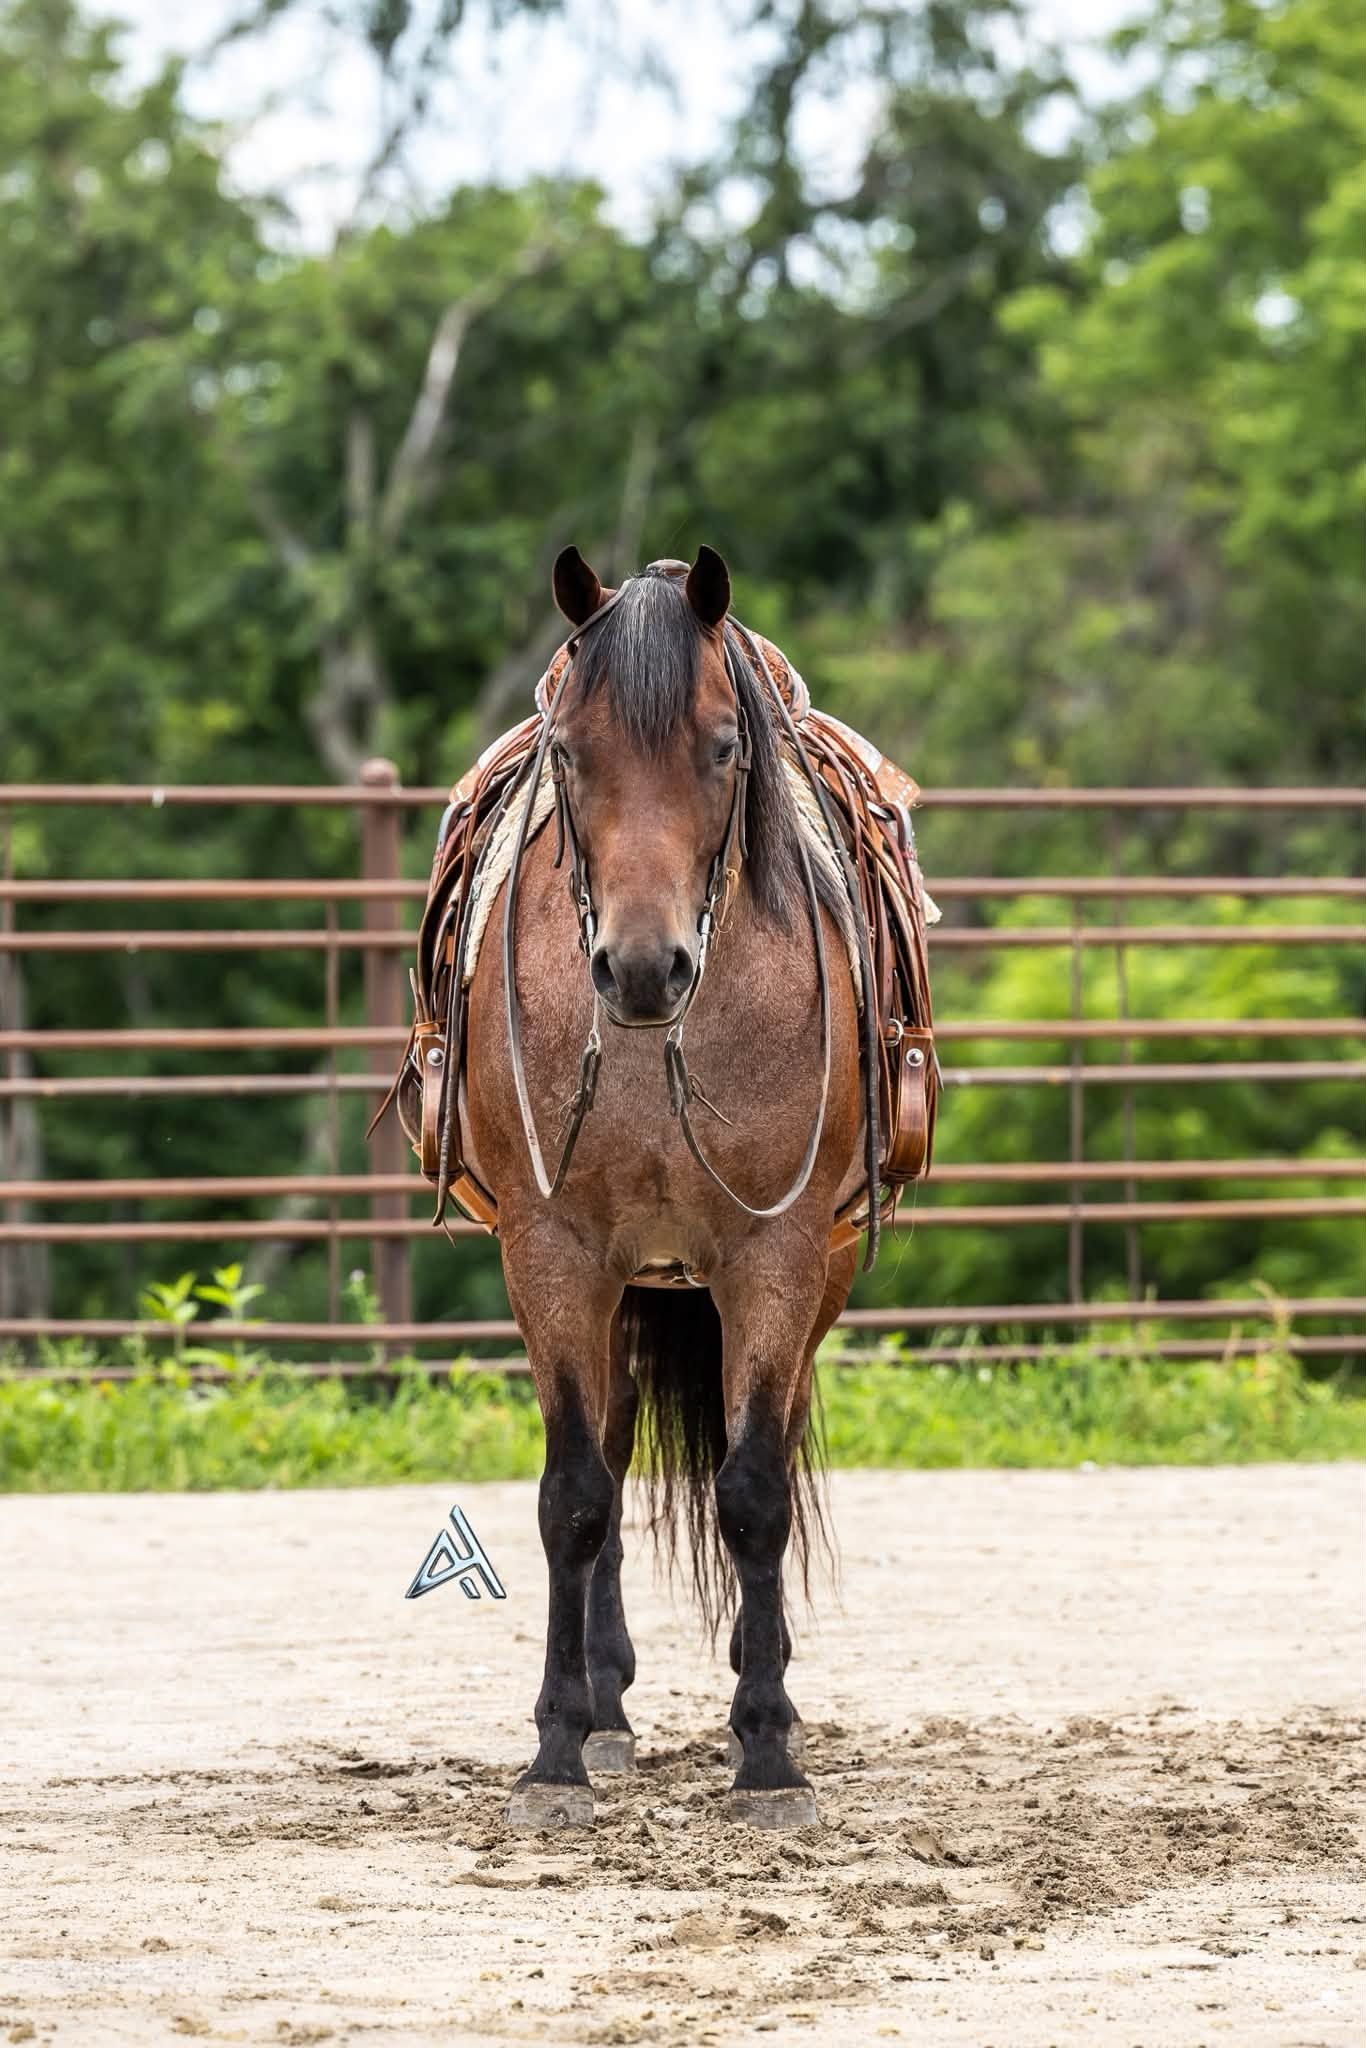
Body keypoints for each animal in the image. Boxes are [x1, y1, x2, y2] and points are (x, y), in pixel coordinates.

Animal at [413, 545, 931, 1830]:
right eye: (568, 747)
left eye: (724, 744)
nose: (644, 968)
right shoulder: (550, 1255)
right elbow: (574, 1495)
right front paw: (555, 1749)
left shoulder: (777, 1258)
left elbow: (753, 1491)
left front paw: (768, 1750)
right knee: (605, 1450)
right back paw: (606, 1709)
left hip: (804, 1278)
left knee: (769, 1447)